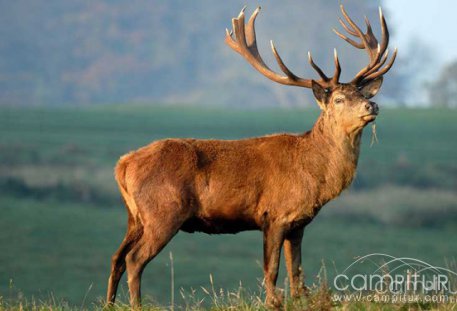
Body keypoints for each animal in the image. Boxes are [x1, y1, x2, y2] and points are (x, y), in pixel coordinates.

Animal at [105, 3, 394, 308]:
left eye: (362, 93)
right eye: (338, 99)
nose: (372, 105)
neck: (313, 173)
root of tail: (123, 165)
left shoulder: (299, 223)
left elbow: (297, 273)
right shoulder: (275, 215)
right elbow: (272, 269)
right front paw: (272, 303)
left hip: (135, 217)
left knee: (116, 257)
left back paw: (109, 303)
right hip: (164, 211)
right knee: (134, 259)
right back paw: (136, 305)